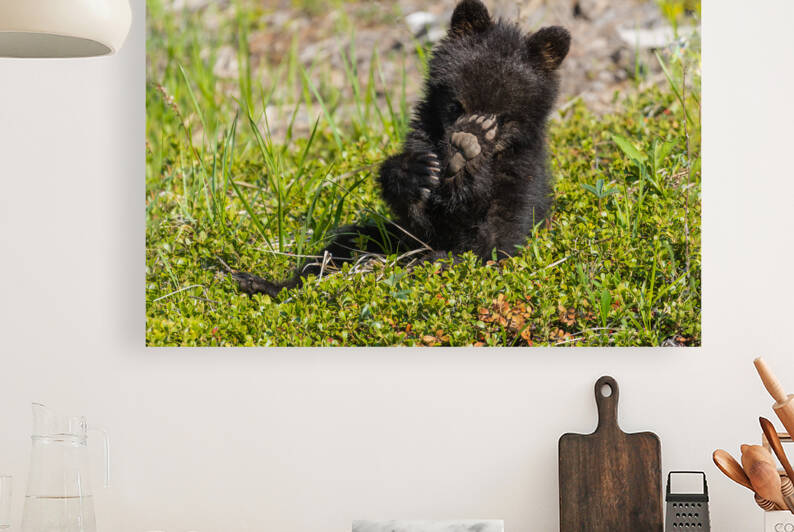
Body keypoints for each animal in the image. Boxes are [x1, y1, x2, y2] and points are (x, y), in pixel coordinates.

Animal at [234, 0, 570, 297]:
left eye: (501, 118)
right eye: (455, 104)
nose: (464, 137)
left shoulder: (519, 178)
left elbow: (496, 239)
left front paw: (467, 161)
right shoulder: (424, 144)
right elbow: (418, 216)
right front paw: (415, 172)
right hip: (383, 237)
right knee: (343, 245)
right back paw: (261, 283)